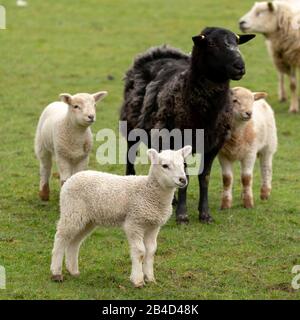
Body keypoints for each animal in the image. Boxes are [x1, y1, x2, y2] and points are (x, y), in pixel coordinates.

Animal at [49, 146, 190, 288]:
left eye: (183, 164)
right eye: (165, 166)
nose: (182, 180)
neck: (149, 192)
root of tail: (72, 178)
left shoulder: (153, 226)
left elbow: (151, 251)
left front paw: (150, 279)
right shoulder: (134, 222)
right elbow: (140, 252)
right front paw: (138, 280)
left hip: (87, 219)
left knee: (74, 242)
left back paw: (73, 271)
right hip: (72, 211)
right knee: (60, 238)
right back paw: (56, 273)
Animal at [119, 26, 255, 222]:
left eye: (237, 41)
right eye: (211, 43)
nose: (239, 66)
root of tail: (160, 52)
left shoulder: (214, 144)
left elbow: (204, 177)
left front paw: (205, 214)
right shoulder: (179, 140)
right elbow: (185, 175)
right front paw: (182, 215)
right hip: (131, 126)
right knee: (130, 158)